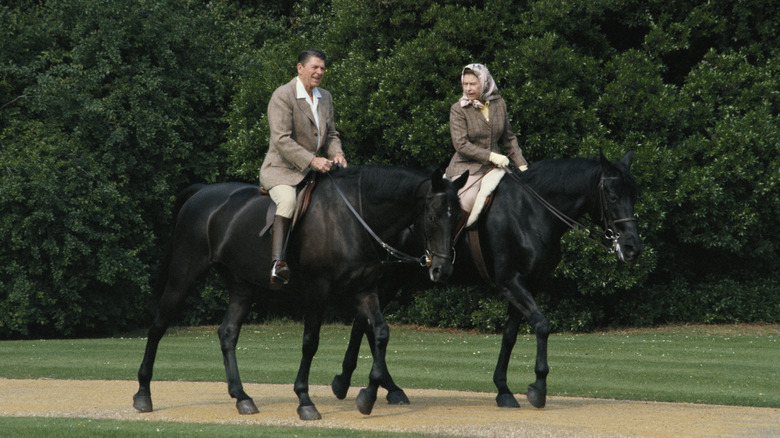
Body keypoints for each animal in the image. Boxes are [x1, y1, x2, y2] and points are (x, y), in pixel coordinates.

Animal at [132, 165, 466, 420]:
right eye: (433, 216)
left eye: (459, 217)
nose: (442, 269)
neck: (354, 218)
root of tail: (202, 192)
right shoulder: (318, 290)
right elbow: (310, 342)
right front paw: (305, 399)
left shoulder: (364, 289)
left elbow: (380, 333)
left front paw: (367, 396)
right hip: (184, 275)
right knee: (158, 326)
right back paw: (143, 393)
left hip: (242, 286)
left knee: (227, 333)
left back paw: (242, 396)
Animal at [332, 152, 644, 408]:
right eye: (612, 196)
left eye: (634, 194)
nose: (632, 247)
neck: (531, 211)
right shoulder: (510, 282)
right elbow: (541, 325)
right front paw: (538, 388)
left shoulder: (528, 284)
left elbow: (510, 335)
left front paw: (503, 389)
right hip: (388, 277)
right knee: (364, 323)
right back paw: (353, 382)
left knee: (365, 323)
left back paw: (384, 386)